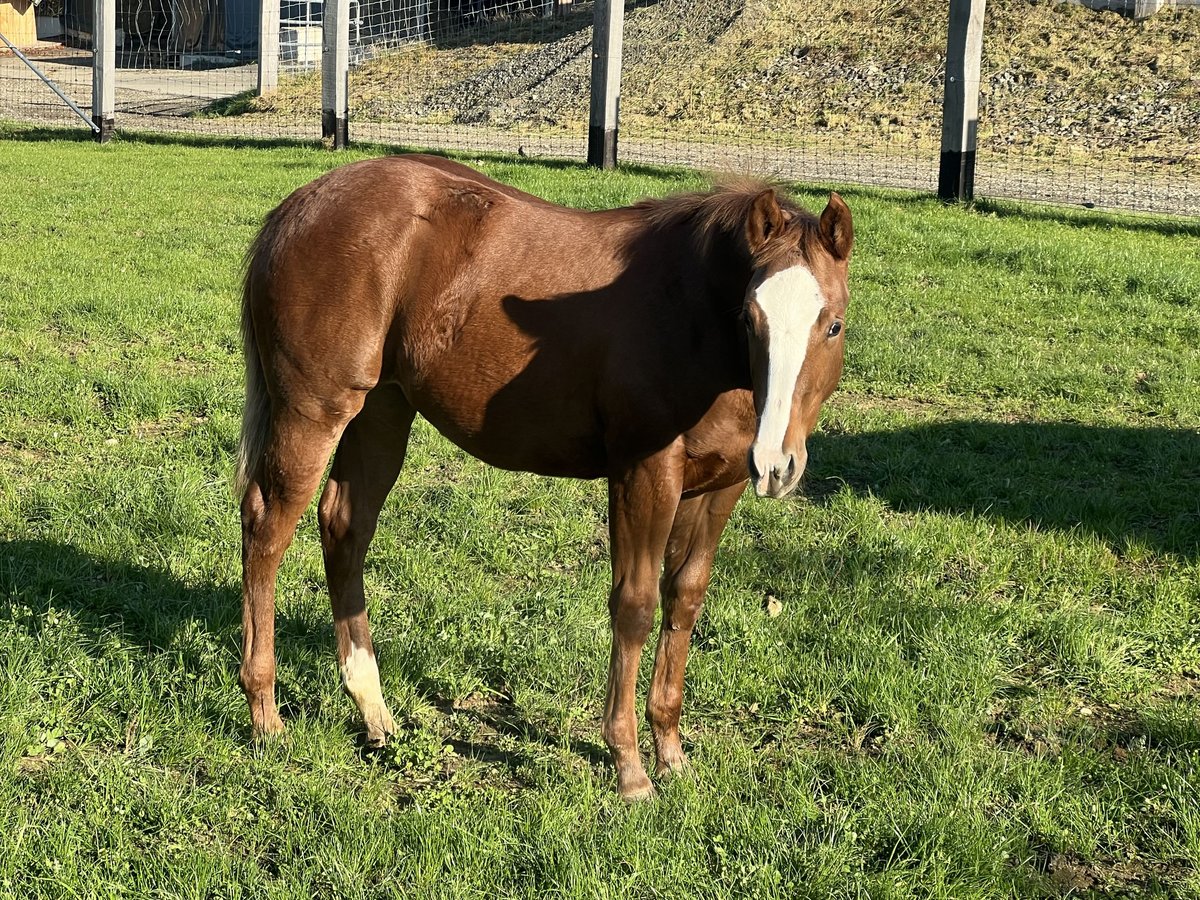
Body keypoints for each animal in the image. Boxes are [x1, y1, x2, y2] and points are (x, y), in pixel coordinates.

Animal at [234, 153, 854, 796]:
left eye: (833, 324)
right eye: (750, 318)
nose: (778, 464)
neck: (693, 317)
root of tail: (296, 208)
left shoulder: (719, 486)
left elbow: (683, 600)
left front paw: (670, 751)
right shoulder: (643, 473)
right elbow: (634, 606)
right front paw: (629, 765)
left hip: (381, 409)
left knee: (344, 526)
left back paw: (373, 712)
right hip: (313, 412)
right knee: (267, 530)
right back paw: (265, 713)